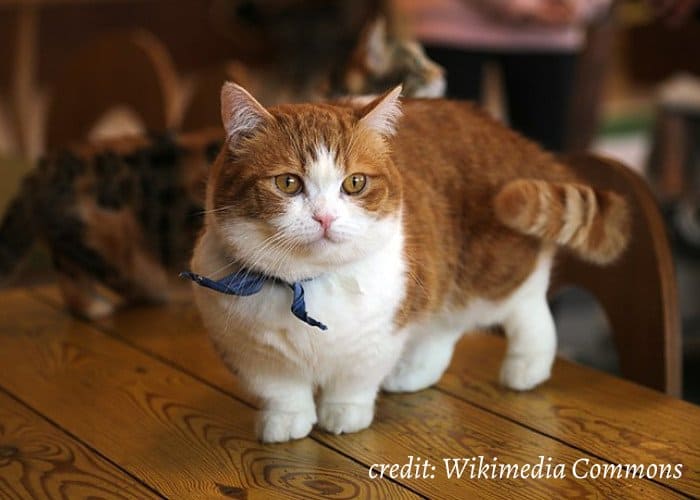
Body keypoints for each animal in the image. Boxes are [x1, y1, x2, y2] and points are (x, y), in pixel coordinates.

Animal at [189, 84, 632, 444]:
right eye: (287, 183)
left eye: (354, 183)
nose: (325, 218)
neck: (307, 283)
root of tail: (519, 142)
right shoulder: (250, 351)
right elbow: (281, 390)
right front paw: (287, 421)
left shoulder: (380, 333)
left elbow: (354, 381)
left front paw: (344, 413)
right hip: (441, 275)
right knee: (446, 325)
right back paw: (416, 372)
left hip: (487, 271)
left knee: (527, 305)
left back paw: (528, 365)